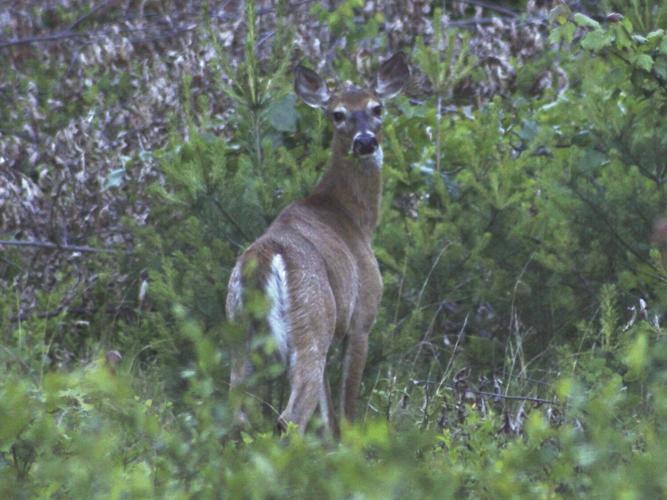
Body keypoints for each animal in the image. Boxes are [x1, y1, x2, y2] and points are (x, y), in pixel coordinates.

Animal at [225, 53, 410, 434]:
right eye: (337, 114)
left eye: (377, 107)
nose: (365, 142)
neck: (352, 218)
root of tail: (266, 257)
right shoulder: (361, 317)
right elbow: (345, 409)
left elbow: (328, 419)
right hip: (311, 321)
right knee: (290, 417)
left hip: (238, 327)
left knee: (236, 413)